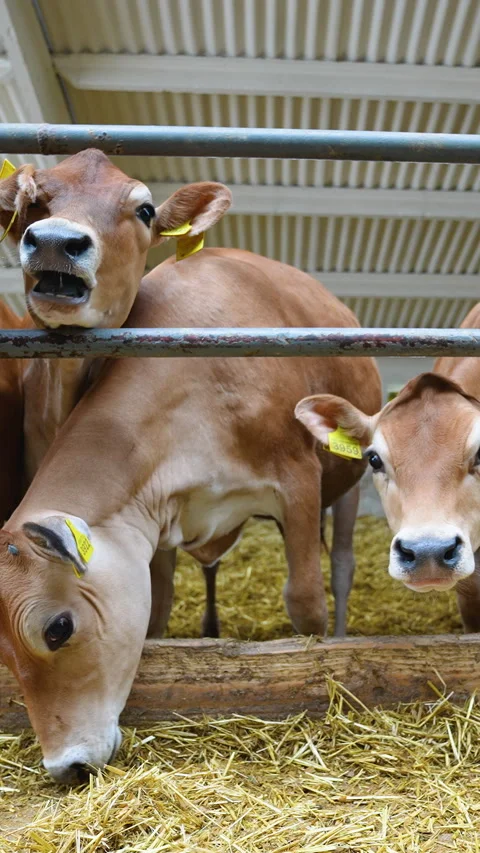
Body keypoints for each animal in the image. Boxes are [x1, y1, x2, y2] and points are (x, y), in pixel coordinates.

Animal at [0, 247, 381, 783]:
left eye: (58, 628)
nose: (64, 767)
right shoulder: (155, 522)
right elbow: (157, 613)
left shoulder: (298, 479)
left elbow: (305, 600)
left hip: (347, 480)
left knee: (343, 563)